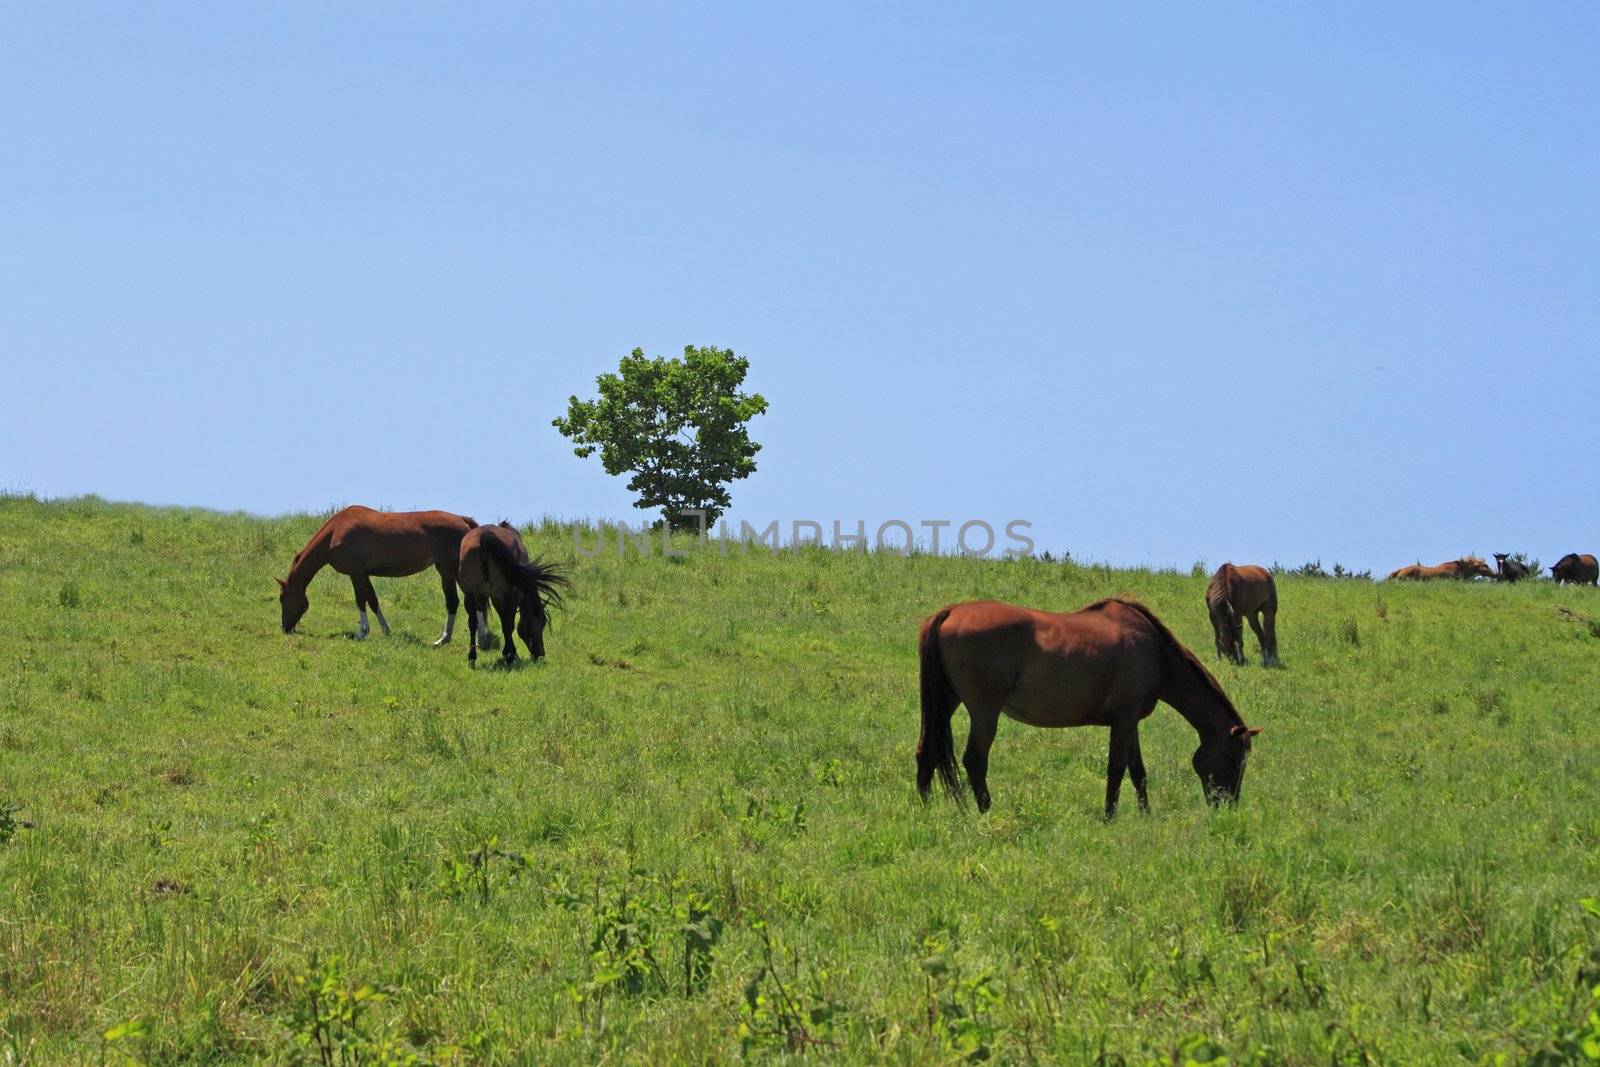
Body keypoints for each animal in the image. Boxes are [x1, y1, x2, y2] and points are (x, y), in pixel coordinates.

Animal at [276, 508, 486, 646]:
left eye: (282, 599)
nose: (285, 628)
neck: (336, 531)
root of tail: (463, 520)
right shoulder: (364, 574)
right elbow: (373, 600)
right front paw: (386, 630)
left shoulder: (355, 573)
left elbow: (361, 601)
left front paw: (362, 632)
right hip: (444, 571)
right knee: (453, 602)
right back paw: (444, 639)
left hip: (453, 570)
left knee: (474, 602)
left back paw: (479, 639)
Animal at [457, 521, 569, 662]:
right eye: (541, 622)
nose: (540, 654)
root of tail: (484, 537)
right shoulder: (510, 596)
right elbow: (508, 623)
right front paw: (510, 653)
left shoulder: (495, 597)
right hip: (506, 595)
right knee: (507, 624)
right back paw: (509, 655)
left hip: (470, 595)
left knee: (472, 622)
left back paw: (472, 656)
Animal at [921, 601, 1267, 819]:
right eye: (1234, 757)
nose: (1227, 805)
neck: (1155, 651)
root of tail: (950, 612)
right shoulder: (1124, 721)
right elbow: (1117, 769)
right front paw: (1110, 817)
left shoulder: (1130, 722)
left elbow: (1138, 772)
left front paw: (1145, 815)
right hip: (985, 711)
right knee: (974, 760)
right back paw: (986, 811)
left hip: (946, 704)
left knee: (926, 753)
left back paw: (924, 811)